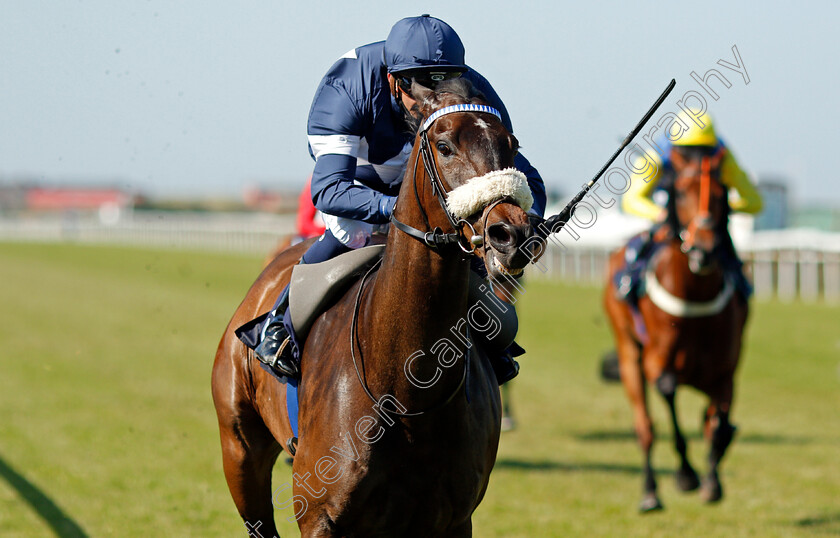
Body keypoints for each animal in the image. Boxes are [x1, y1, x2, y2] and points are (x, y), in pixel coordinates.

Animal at [213, 77, 536, 532]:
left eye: (511, 143)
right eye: (444, 145)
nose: (513, 234)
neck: (407, 389)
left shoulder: (451, 519)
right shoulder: (320, 516)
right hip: (239, 450)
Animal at [604, 143, 748, 510]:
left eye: (722, 192)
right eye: (679, 192)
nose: (704, 249)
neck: (694, 297)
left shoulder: (724, 371)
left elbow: (718, 423)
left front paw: (713, 480)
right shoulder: (658, 360)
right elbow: (668, 390)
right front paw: (687, 475)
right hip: (628, 353)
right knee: (645, 426)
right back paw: (650, 491)